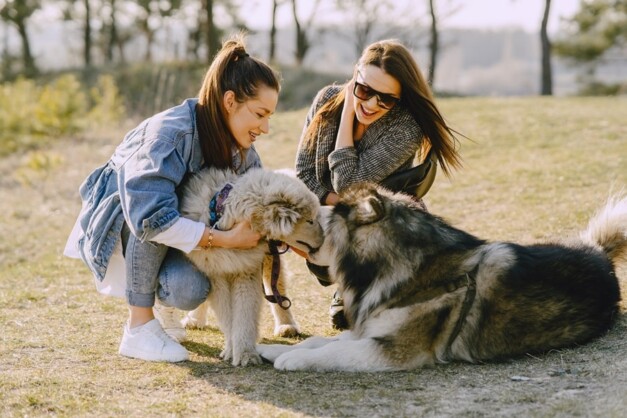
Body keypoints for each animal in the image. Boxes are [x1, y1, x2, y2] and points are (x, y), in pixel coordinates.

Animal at [177, 167, 324, 366]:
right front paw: (233, 350)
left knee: (278, 290)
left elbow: (244, 316)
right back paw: (194, 319)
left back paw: (286, 325)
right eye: (310, 221)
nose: (324, 239)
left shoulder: (246, 272)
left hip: (270, 262)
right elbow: (227, 316)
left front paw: (246, 353)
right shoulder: (217, 274)